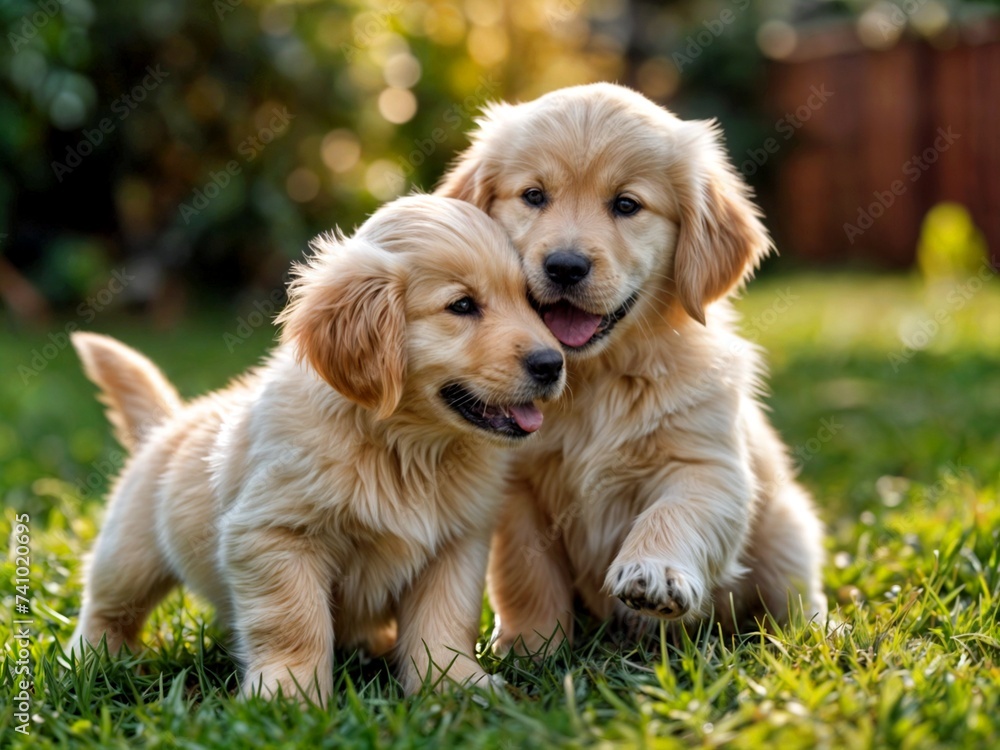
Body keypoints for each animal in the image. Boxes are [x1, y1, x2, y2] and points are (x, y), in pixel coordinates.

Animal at [68, 197, 572, 704]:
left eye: (533, 302)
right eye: (463, 305)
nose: (552, 364)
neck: (404, 446)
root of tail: (166, 424)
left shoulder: (456, 542)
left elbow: (443, 622)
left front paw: (454, 684)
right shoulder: (274, 534)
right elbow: (295, 622)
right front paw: (288, 694)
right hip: (129, 554)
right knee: (106, 607)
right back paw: (93, 659)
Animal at [438, 83, 828, 656]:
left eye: (627, 205)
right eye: (533, 196)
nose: (565, 266)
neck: (595, 377)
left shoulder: (705, 464)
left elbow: (675, 513)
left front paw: (654, 572)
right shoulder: (515, 486)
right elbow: (525, 571)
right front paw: (532, 645)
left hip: (786, 526)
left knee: (795, 598)